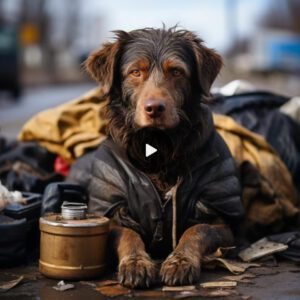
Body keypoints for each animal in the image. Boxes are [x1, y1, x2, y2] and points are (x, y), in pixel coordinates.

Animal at [69, 27, 244, 288]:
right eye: (135, 72)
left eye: (177, 71)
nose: (154, 108)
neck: (158, 148)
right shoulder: (111, 212)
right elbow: (128, 234)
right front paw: (136, 263)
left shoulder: (222, 223)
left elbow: (196, 231)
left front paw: (180, 261)